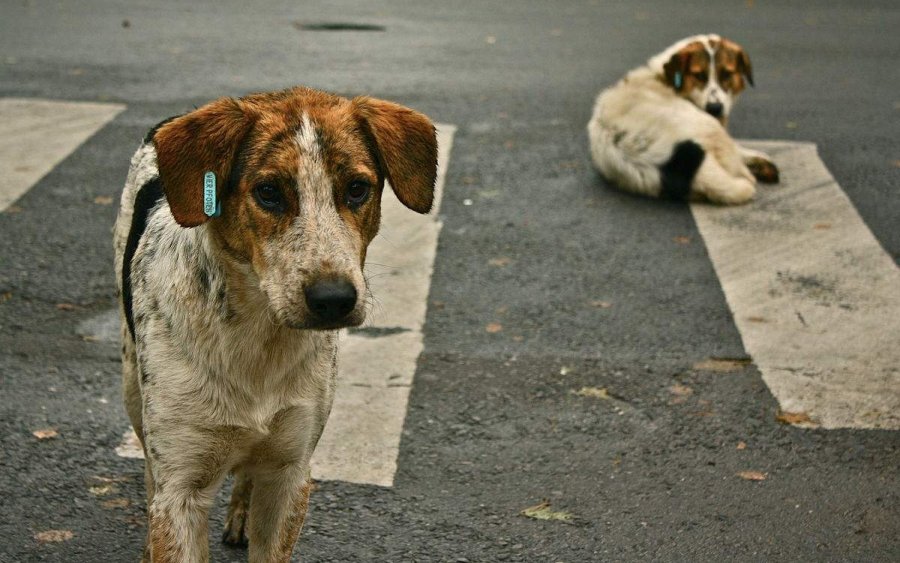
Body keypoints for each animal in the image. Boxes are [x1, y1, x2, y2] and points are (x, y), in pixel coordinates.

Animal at [114, 86, 438, 560]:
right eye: (268, 192)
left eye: (357, 189)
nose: (334, 300)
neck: (258, 337)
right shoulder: (181, 487)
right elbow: (167, 504)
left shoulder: (291, 473)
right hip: (133, 389)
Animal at [588, 33, 776, 205]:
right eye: (698, 75)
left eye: (726, 74)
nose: (715, 108)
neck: (665, 78)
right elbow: (738, 149)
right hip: (709, 126)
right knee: (740, 170)